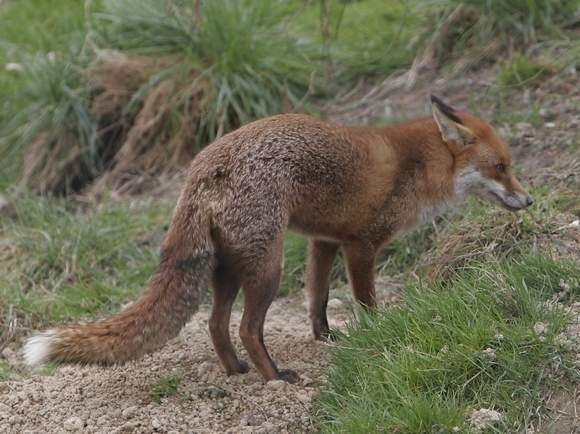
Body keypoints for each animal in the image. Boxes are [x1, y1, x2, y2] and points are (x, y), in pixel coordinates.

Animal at [22, 96, 532, 384]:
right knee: (247, 328)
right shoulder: (360, 244)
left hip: (229, 268)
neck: (415, 166)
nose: (528, 200)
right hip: (267, 267)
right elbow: (365, 301)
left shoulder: (324, 241)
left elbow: (317, 298)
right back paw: (275, 377)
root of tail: (202, 165)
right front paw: (378, 334)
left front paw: (327, 338)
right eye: (501, 167)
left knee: (215, 324)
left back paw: (235, 371)